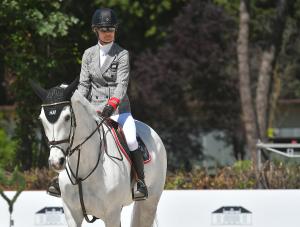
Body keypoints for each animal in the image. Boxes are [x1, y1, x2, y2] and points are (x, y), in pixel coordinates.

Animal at [31, 80, 168, 227]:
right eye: (41, 119)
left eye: (67, 117)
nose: (56, 162)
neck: (83, 169)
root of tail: (151, 131)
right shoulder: (71, 213)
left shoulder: (112, 214)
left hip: (149, 203)